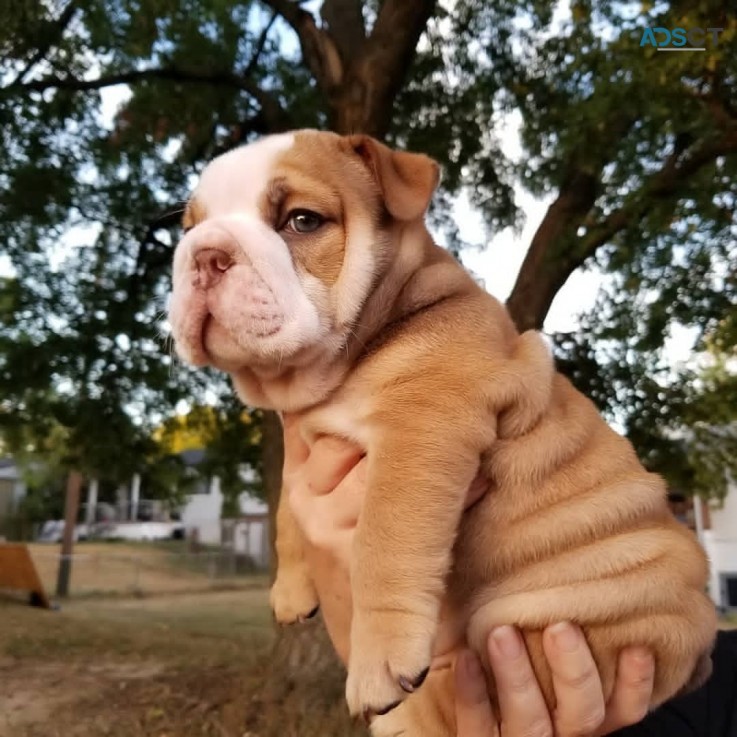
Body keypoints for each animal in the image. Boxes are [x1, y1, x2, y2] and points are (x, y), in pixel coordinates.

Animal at [170, 129, 716, 732]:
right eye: (188, 228)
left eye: (302, 221)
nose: (205, 254)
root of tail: (697, 652)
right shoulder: (304, 437)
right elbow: (289, 507)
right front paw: (290, 590)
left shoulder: (422, 426)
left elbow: (384, 543)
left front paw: (378, 664)